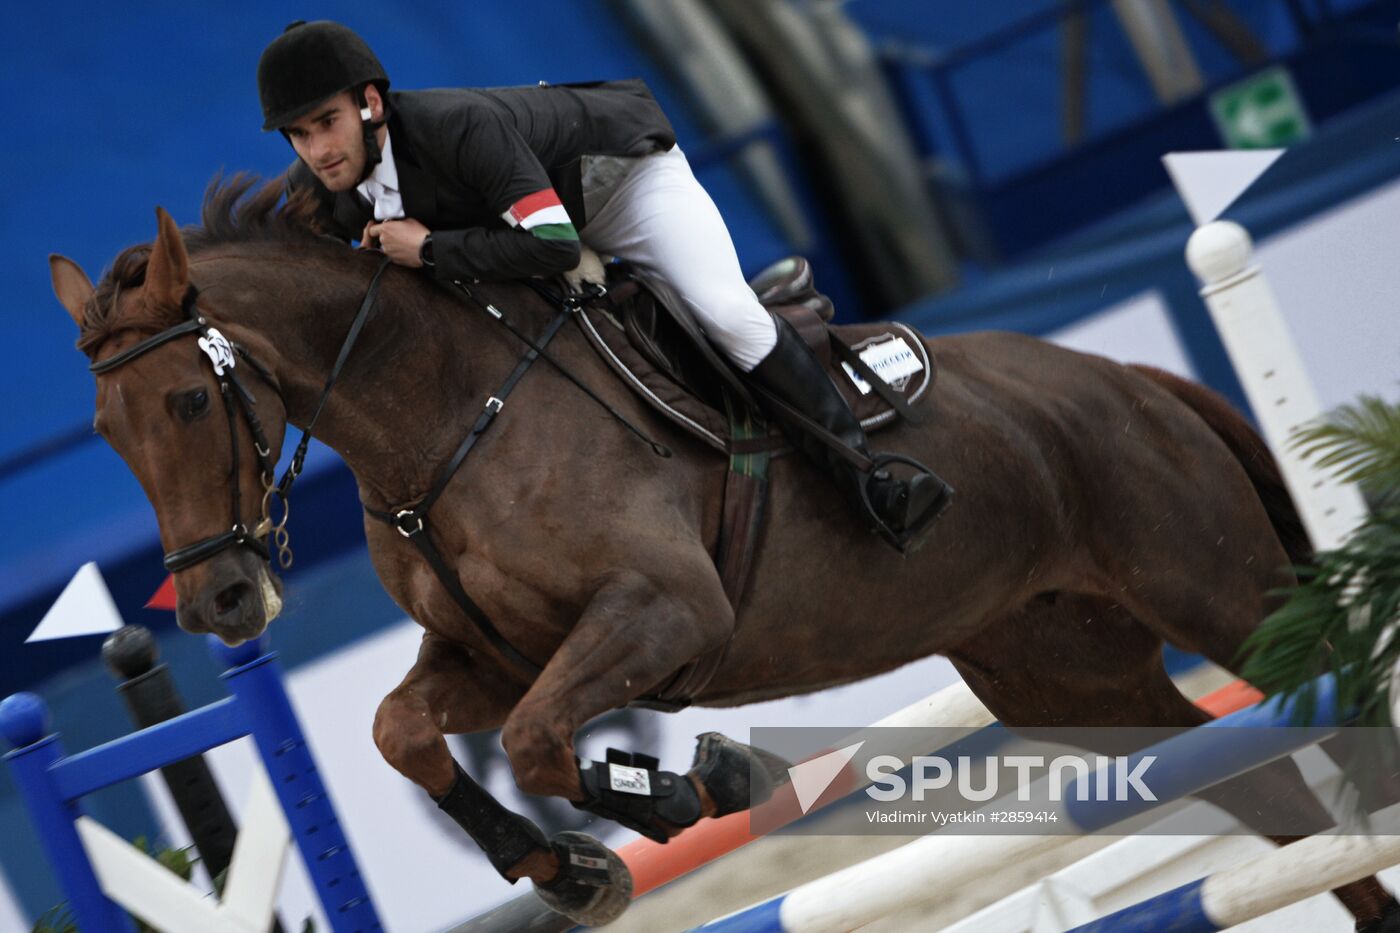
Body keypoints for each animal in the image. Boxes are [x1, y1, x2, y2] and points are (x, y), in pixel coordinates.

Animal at [46, 179, 1400, 924]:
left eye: (186, 401)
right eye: (107, 430)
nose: (221, 601)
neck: (441, 413)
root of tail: (1126, 378)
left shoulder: (661, 616)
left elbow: (539, 741)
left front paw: (696, 787)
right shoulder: (493, 655)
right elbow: (403, 732)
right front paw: (568, 871)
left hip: (1223, 593)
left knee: (1335, 716)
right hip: (1069, 673)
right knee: (1271, 794)